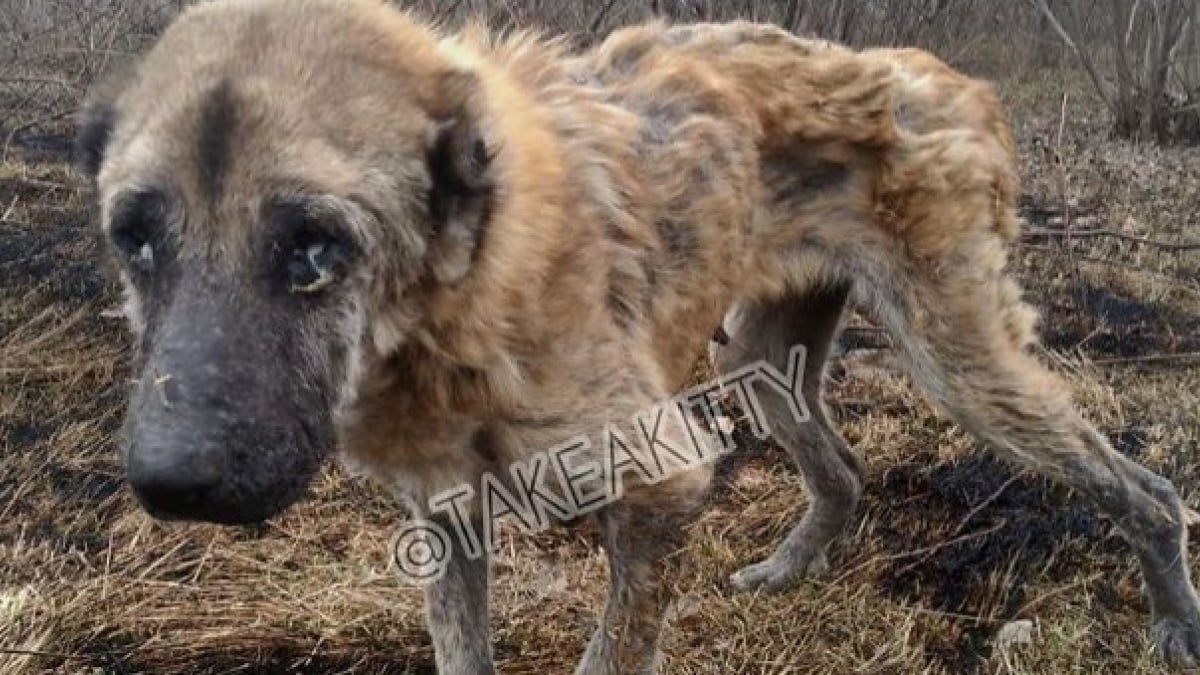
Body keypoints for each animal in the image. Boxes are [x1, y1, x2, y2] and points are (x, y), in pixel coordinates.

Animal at [72, 0, 1200, 667]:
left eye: (315, 245)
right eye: (134, 237)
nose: (171, 486)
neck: (458, 301)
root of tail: (947, 79)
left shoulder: (663, 478)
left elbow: (614, 646)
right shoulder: (446, 518)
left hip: (963, 364)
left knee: (1148, 492)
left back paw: (1175, 624)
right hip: (758, 356)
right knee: (842, 474)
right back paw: (785, 575)